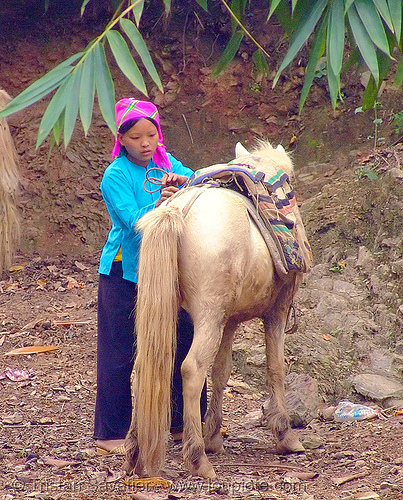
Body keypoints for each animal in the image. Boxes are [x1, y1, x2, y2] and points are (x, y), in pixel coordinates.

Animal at [124, 143, 310, 478]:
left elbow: (222, 372)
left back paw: (134, 453)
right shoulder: (276, 313)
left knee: (143, 367)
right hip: (208, 317)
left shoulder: (230, 319)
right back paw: (198, 458)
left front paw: (213, 436)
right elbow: (275, 367)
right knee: (192, 369)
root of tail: (178, 210)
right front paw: (285, 435)